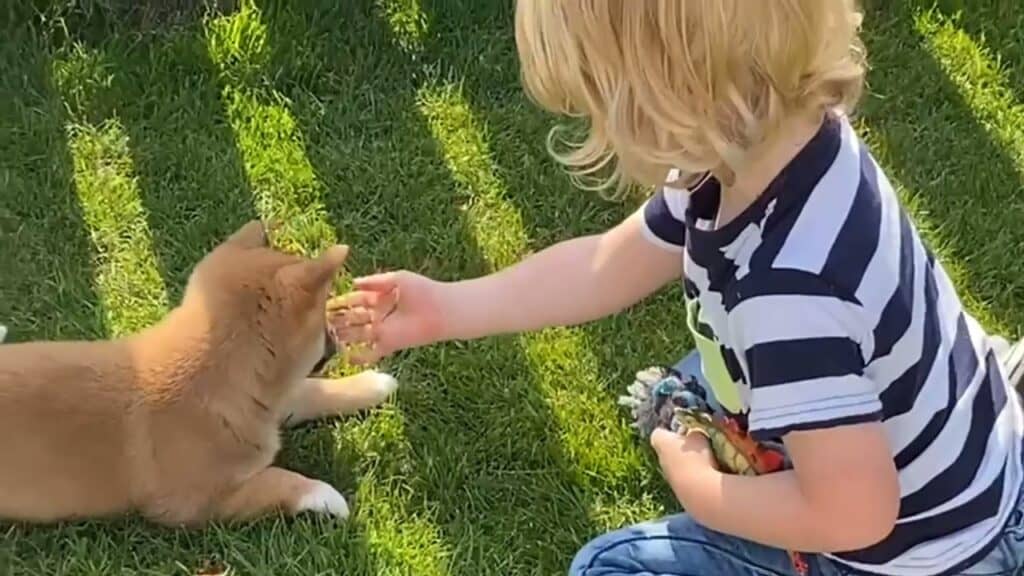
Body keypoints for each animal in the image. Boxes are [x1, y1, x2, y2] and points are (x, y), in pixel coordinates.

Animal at [0, 219, 395, 524]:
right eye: (321, 321)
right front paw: (324, 495)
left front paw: (372, 384)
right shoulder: (197, 502)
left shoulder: (273, 404)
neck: (213, 377)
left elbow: (310, 390)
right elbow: (275, 480)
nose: (336, 339)